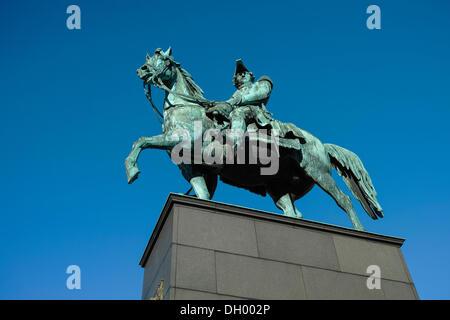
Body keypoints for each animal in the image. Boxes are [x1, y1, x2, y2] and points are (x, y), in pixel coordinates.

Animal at [124, 47, 384, 230]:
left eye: (161, 59)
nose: (141, 70)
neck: (186, 107)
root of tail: (320, 143)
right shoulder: (191, 167)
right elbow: (203, 194)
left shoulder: (181, 141)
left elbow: (141, 140)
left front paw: (131, 170)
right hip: (279, 189)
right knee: (293, 213)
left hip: (318, 172)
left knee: (344, 200)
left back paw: (360, 231)